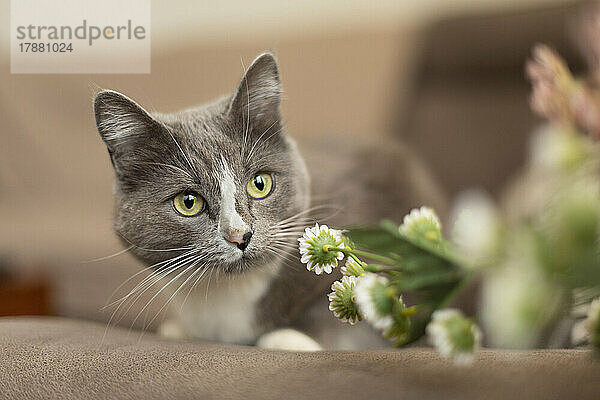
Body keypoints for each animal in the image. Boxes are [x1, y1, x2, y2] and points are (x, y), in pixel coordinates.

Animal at [91, 53, 442, 350]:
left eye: (260, 184)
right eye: (188, 202)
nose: (240, 235)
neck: (228, 293)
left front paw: (290, 338)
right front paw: (178, 329)